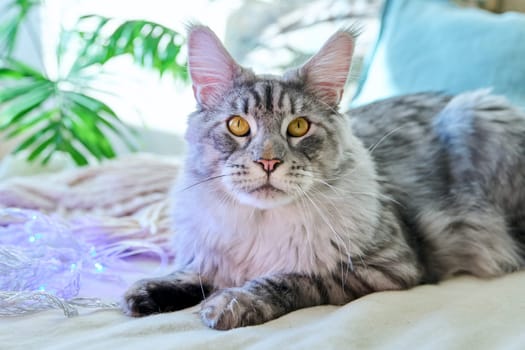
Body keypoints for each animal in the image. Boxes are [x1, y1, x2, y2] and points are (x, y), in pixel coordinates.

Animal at [122, 23, 524, 328]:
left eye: (299, 127)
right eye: (237, 126)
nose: (268, 161)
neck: (261, 225)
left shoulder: (388, 266)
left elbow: (287, 279)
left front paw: (232, 303)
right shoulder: (213, 255)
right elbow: (196, 273)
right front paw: (147, 292)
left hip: (474, 114)